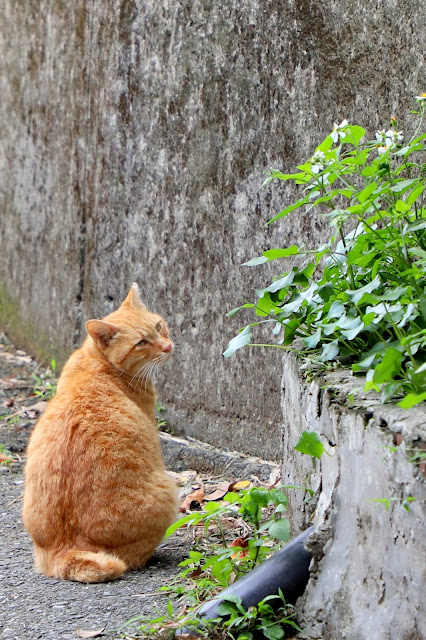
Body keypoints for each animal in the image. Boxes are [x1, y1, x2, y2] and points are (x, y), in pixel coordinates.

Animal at [22, 282, 178, 584]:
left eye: (158, 325)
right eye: (142, 342)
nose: (167, 346)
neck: (99, 362)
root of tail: (66, 549)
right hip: (167, 491)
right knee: (131, 559)